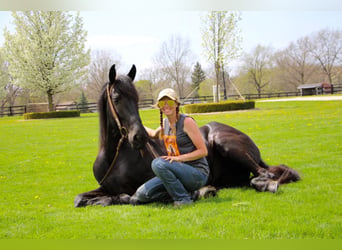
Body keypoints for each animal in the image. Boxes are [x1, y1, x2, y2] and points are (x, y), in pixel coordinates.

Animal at [74, 64, 300, 207]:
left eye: (137, 98)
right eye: (116, 98)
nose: (139, 137)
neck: (116, 156)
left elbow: (132, 197)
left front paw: (202, 191)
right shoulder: (104, 187)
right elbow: (79, 199)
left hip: (227, 145)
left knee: (265, 174)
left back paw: (266, 184)